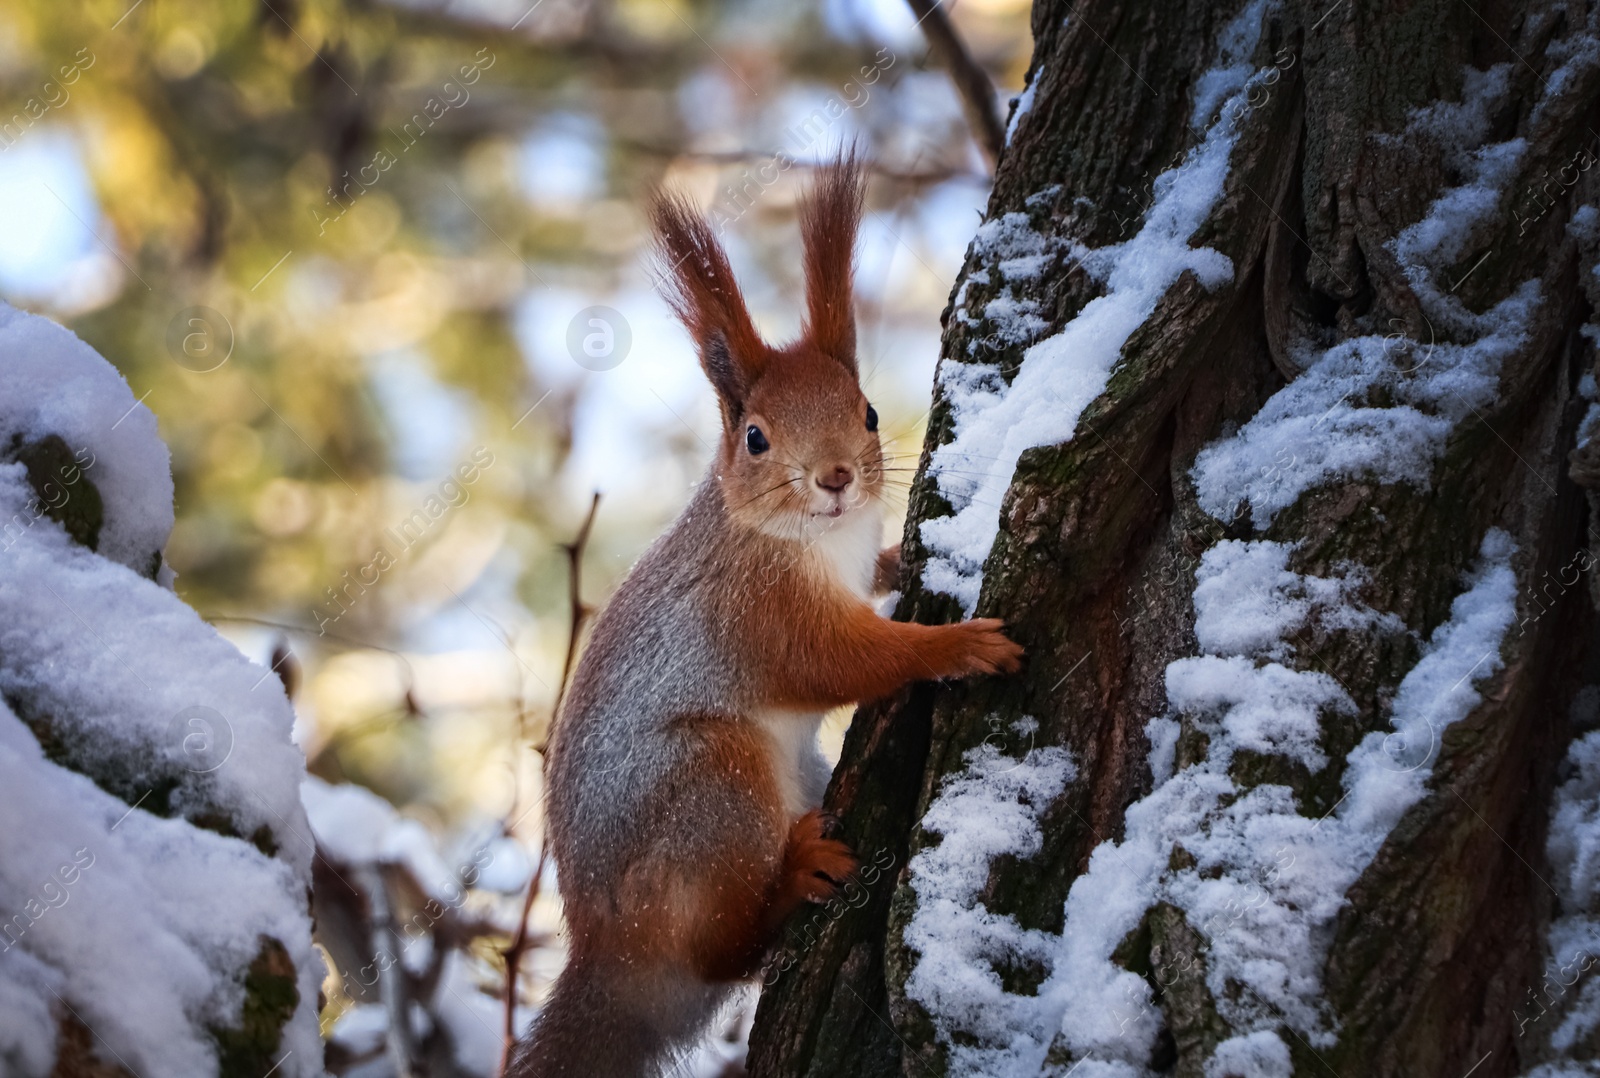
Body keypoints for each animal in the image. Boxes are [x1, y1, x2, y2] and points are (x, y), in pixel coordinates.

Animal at [512, 153, 1017, 1074]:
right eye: (755, 437)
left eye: (867, 412)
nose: (835, 478)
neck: (815, 538)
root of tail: (609, 965)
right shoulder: (757, 611)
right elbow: (845, 661)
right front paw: (959, 644)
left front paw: (907, 565)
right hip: (712, 787)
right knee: (725, 951)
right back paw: (792, 884)